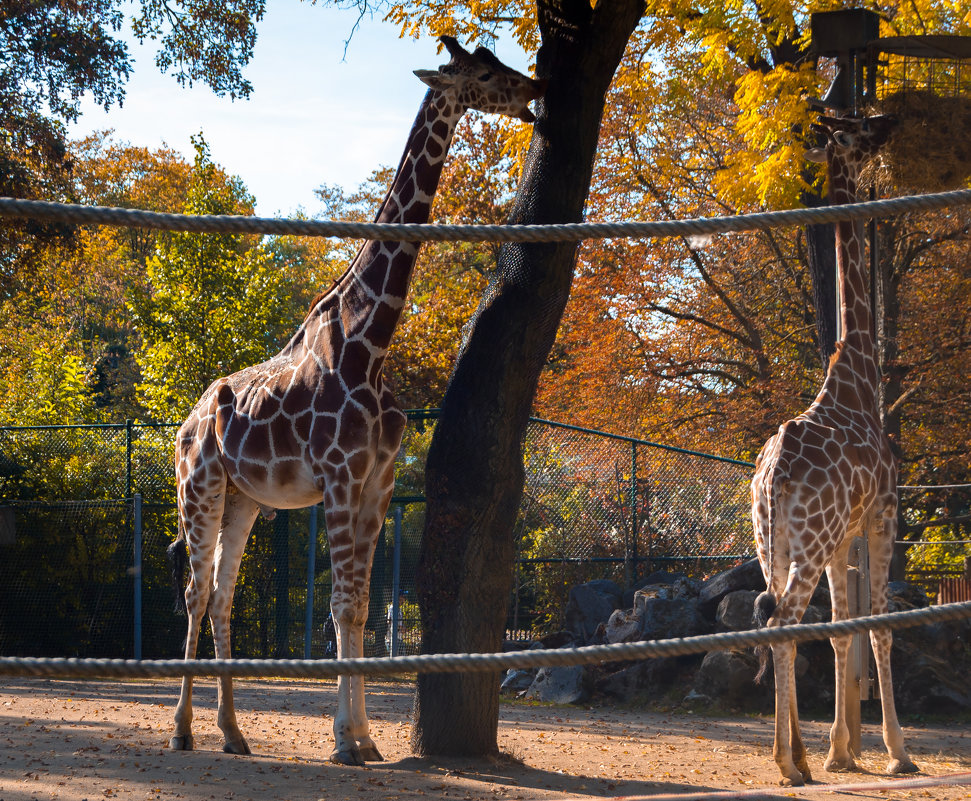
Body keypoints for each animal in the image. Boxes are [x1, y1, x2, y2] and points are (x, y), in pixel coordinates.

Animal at [167, 36, 548, 764]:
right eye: (483, 72)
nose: (536, 88)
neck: (370, 342)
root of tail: (187, 420)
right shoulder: (341, 480)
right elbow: (341, 607)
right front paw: (347, 741)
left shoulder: (377, 483)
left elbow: (364, 609)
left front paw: (365, 736)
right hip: (198, 485)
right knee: (197, 592)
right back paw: (181, 730)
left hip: (243, 498)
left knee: (224, 596)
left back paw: (232, 733)